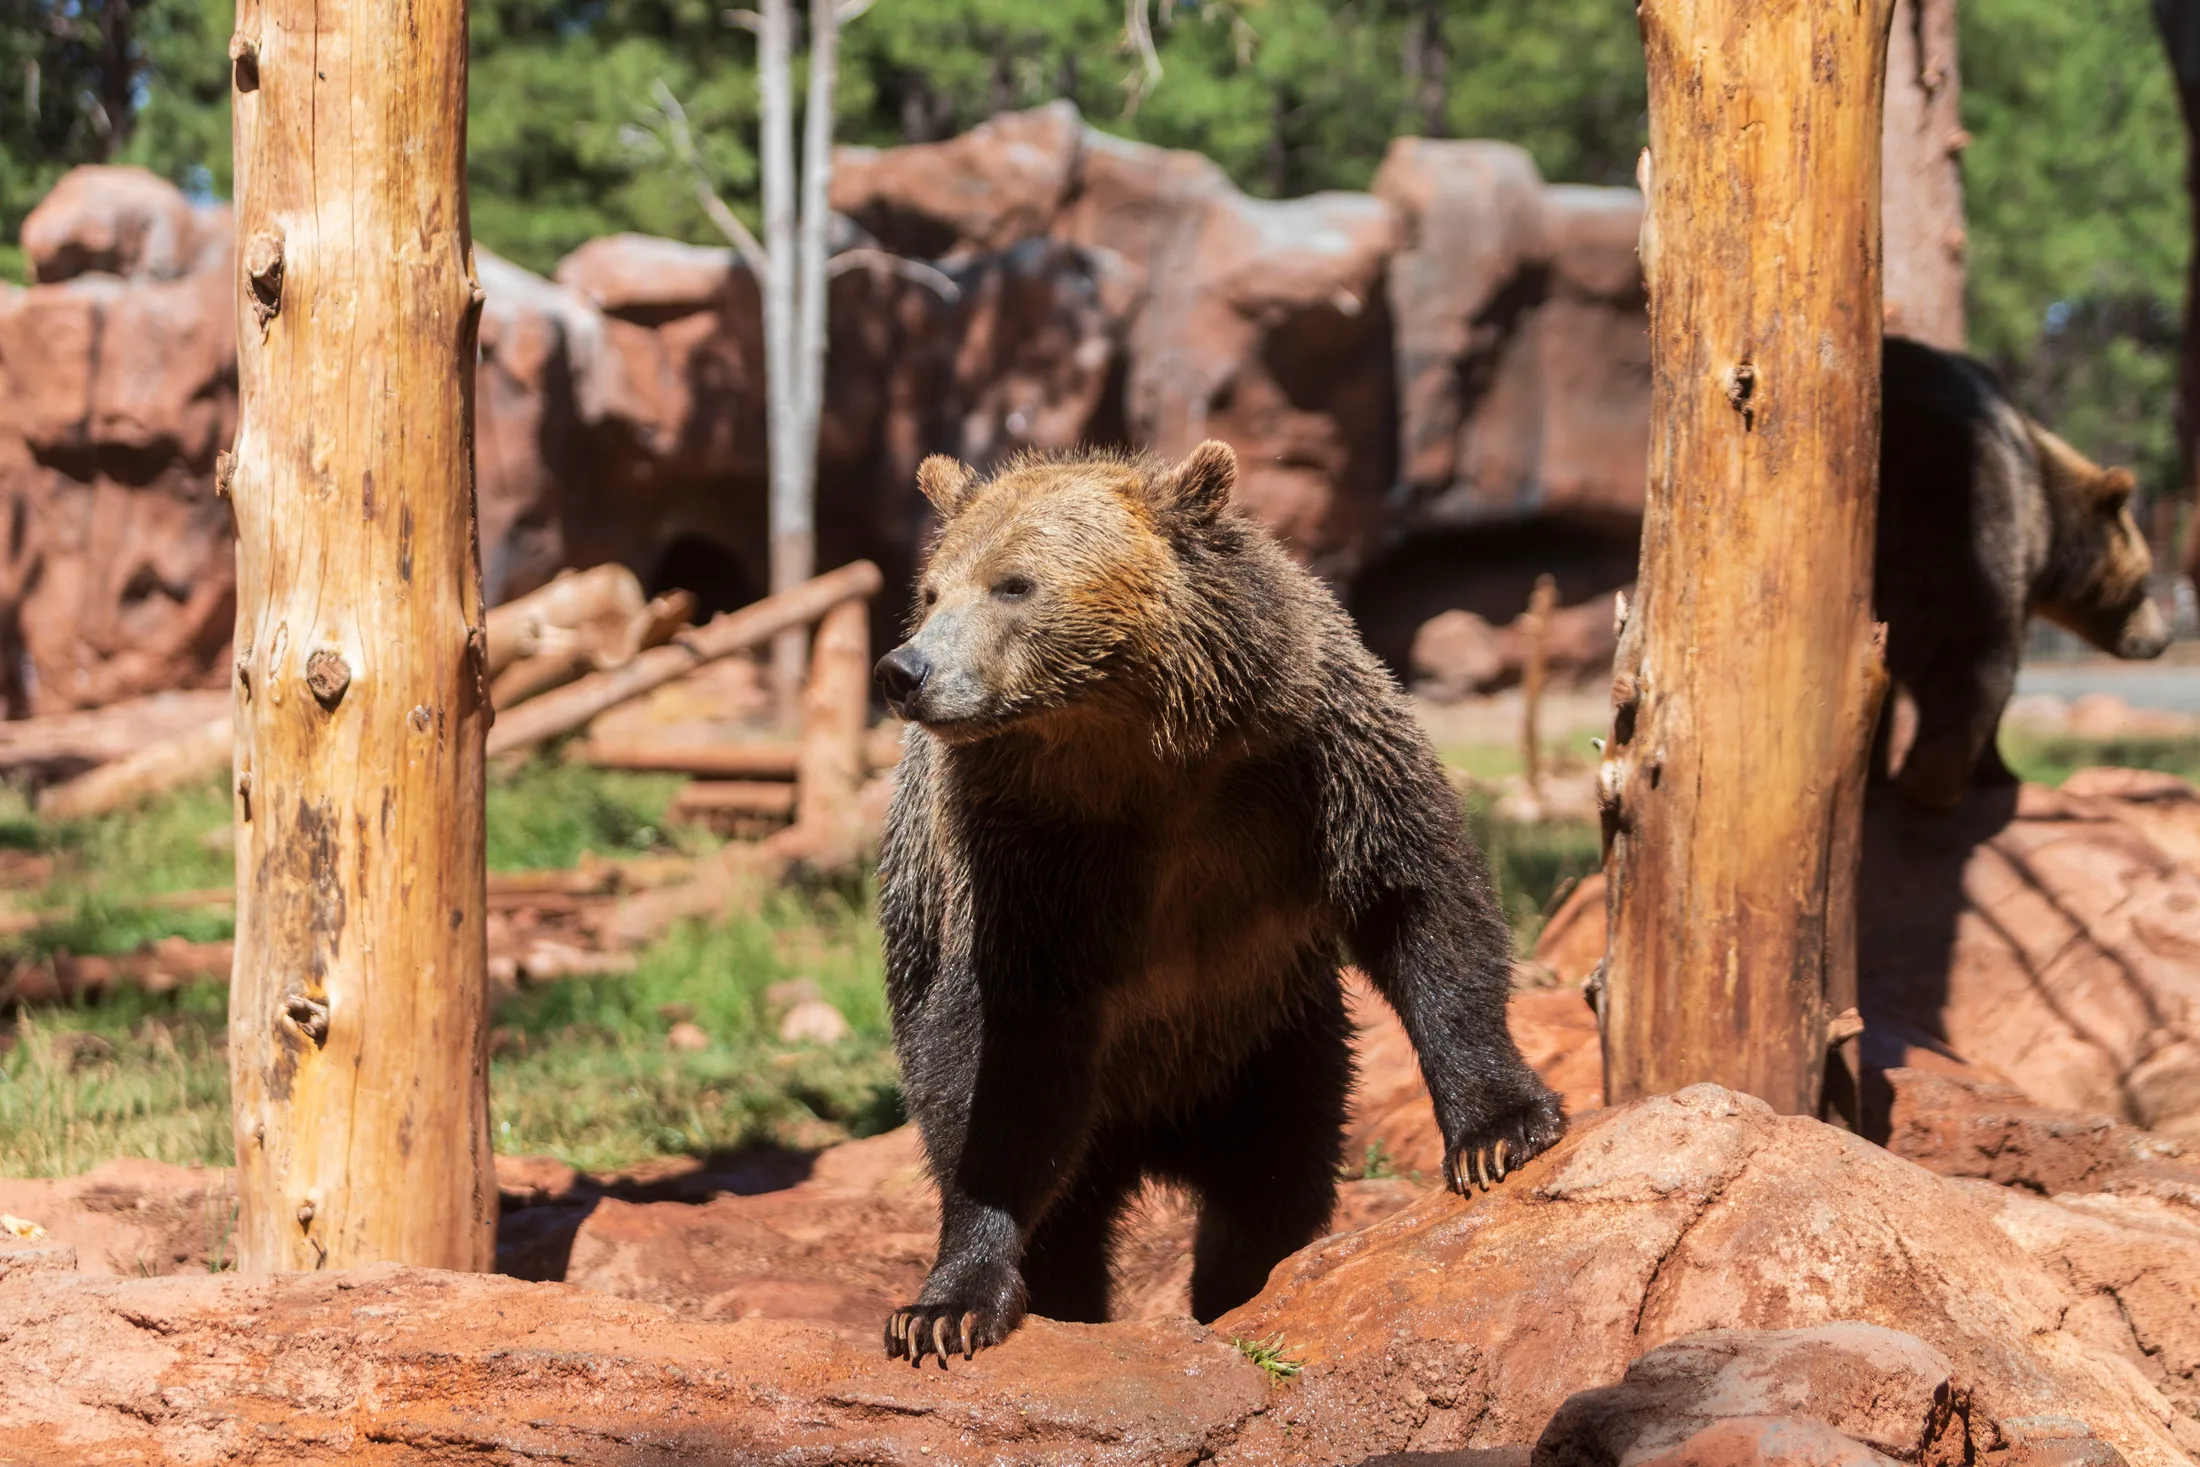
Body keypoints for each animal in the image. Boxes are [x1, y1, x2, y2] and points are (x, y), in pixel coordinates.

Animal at [872, 441, 1566, 1365]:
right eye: (931, 590)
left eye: (1012, 584)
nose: (905, 670)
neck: (1138, 740)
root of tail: (1156, 1138)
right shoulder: (1023, 861)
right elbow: (994, 1069)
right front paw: (947, 1305)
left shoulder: (1310, 757)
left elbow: (1418, 900)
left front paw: (1500, 1130)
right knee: (1075, 1215)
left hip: (1265, 1044)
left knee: (1269, 1182)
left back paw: (1240, 1286)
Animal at [1876, 334, 2169, 810]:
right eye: (2143, 582)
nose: (2162, 639)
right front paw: (1998, 772)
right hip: (1966, 528)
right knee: (1974, 657)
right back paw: (1933, 780)